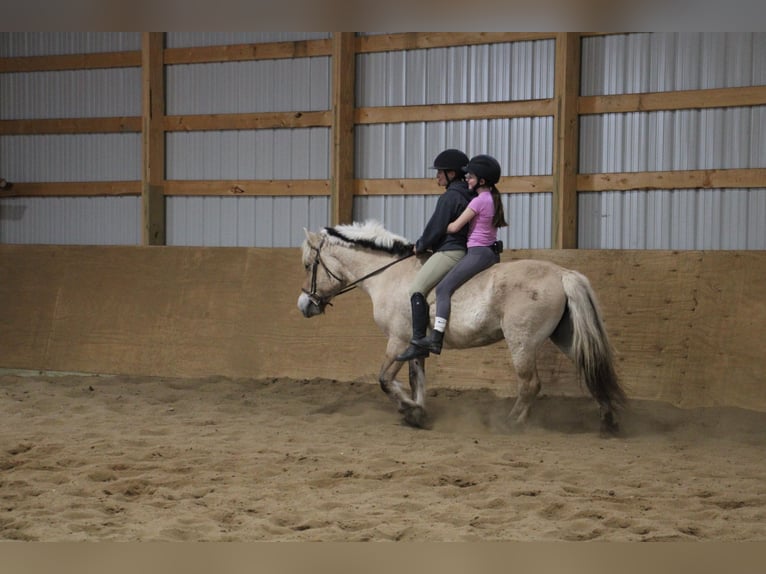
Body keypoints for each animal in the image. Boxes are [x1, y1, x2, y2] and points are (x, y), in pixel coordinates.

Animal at [296, 220, 628, 436]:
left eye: (307, 265)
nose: (304, 305)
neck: (389, 275)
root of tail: (562, 273)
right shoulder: (415, 346)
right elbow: (417, 380)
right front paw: (418, 413)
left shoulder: (398, 340)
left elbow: (385, 380)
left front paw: (409, 410)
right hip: (565, 336)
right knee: (590, 368)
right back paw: (608, 421)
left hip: (521, 341)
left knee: (530, 384)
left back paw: (512, 423)